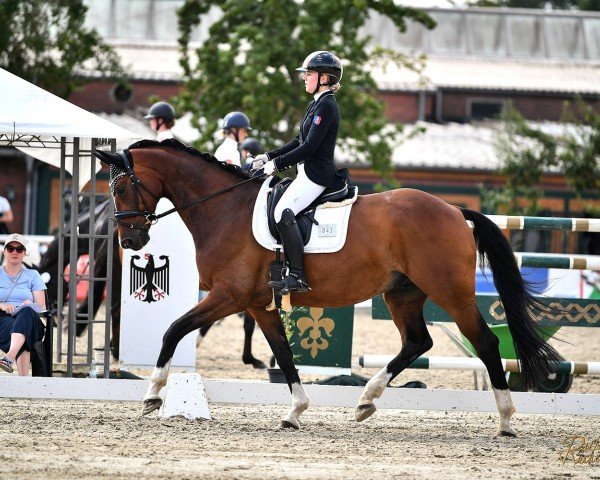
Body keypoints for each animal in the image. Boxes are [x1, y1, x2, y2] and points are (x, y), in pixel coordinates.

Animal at [94, 141, 564, 436]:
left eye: (121, 186)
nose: (130, 241)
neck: (224, 209)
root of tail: (452, 209)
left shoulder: (228, 296)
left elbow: (172, 330)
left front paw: (152, 395)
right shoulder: (259, 305)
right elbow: (284, 355)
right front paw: (295, 412)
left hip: (452, 293)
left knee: (485, 342)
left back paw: (506, 420)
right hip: (402, 293)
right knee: (417, 342)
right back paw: (366, 401)